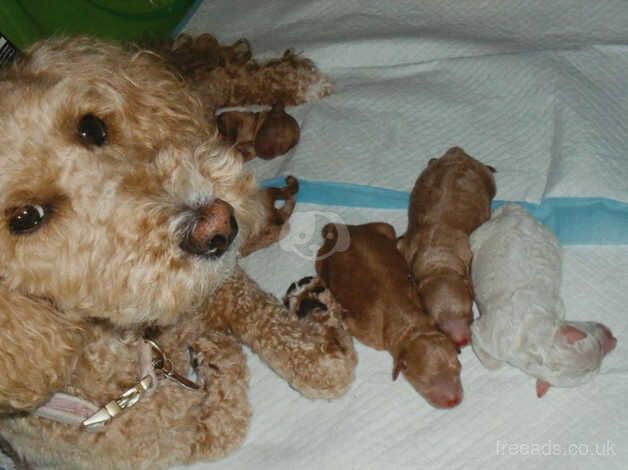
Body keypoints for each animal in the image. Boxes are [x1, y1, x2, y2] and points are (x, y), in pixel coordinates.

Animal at [398, 146, 496, 346]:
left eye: (470, 316)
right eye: (437, 325)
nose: (462, 341)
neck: (438, 262)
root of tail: (457, 152)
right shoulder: (407, 246)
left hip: (485, 176)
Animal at [468, 204, 616, 394]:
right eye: (598, 345)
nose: (613, 340)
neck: (534, 336)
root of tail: (517, 211)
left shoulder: (557, 306)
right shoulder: (484, 332)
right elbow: (494, 363)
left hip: (550, 238)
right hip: (484, 232)